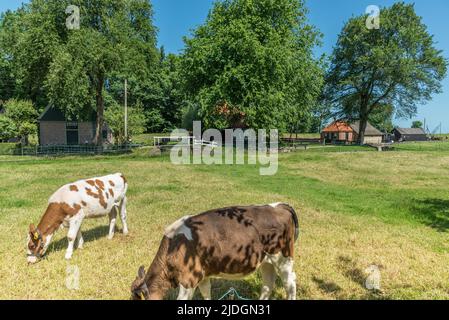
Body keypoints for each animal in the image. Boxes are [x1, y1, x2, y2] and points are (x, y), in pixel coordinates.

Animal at [130, 202, 298, 300]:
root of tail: (277, 205)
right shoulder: (202, 275)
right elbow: (206, 293)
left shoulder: (188, 279)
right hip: (266, 261)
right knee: (268, 284)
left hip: (283, 258)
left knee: (290, 284)